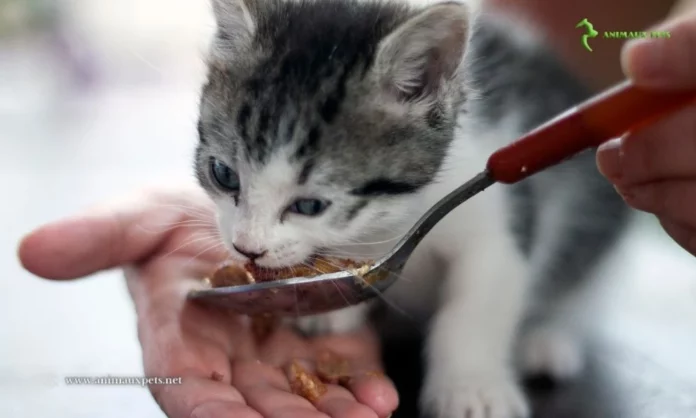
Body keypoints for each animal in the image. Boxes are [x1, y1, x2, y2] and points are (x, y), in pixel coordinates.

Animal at [194, 0, 632, 418]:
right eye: (223, 174)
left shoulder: (498, 218)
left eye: (310, 205)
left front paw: (470, 386)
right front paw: (330, 306)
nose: (247, 247)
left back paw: (545, 338)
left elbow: (476, 304)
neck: (399, 213)